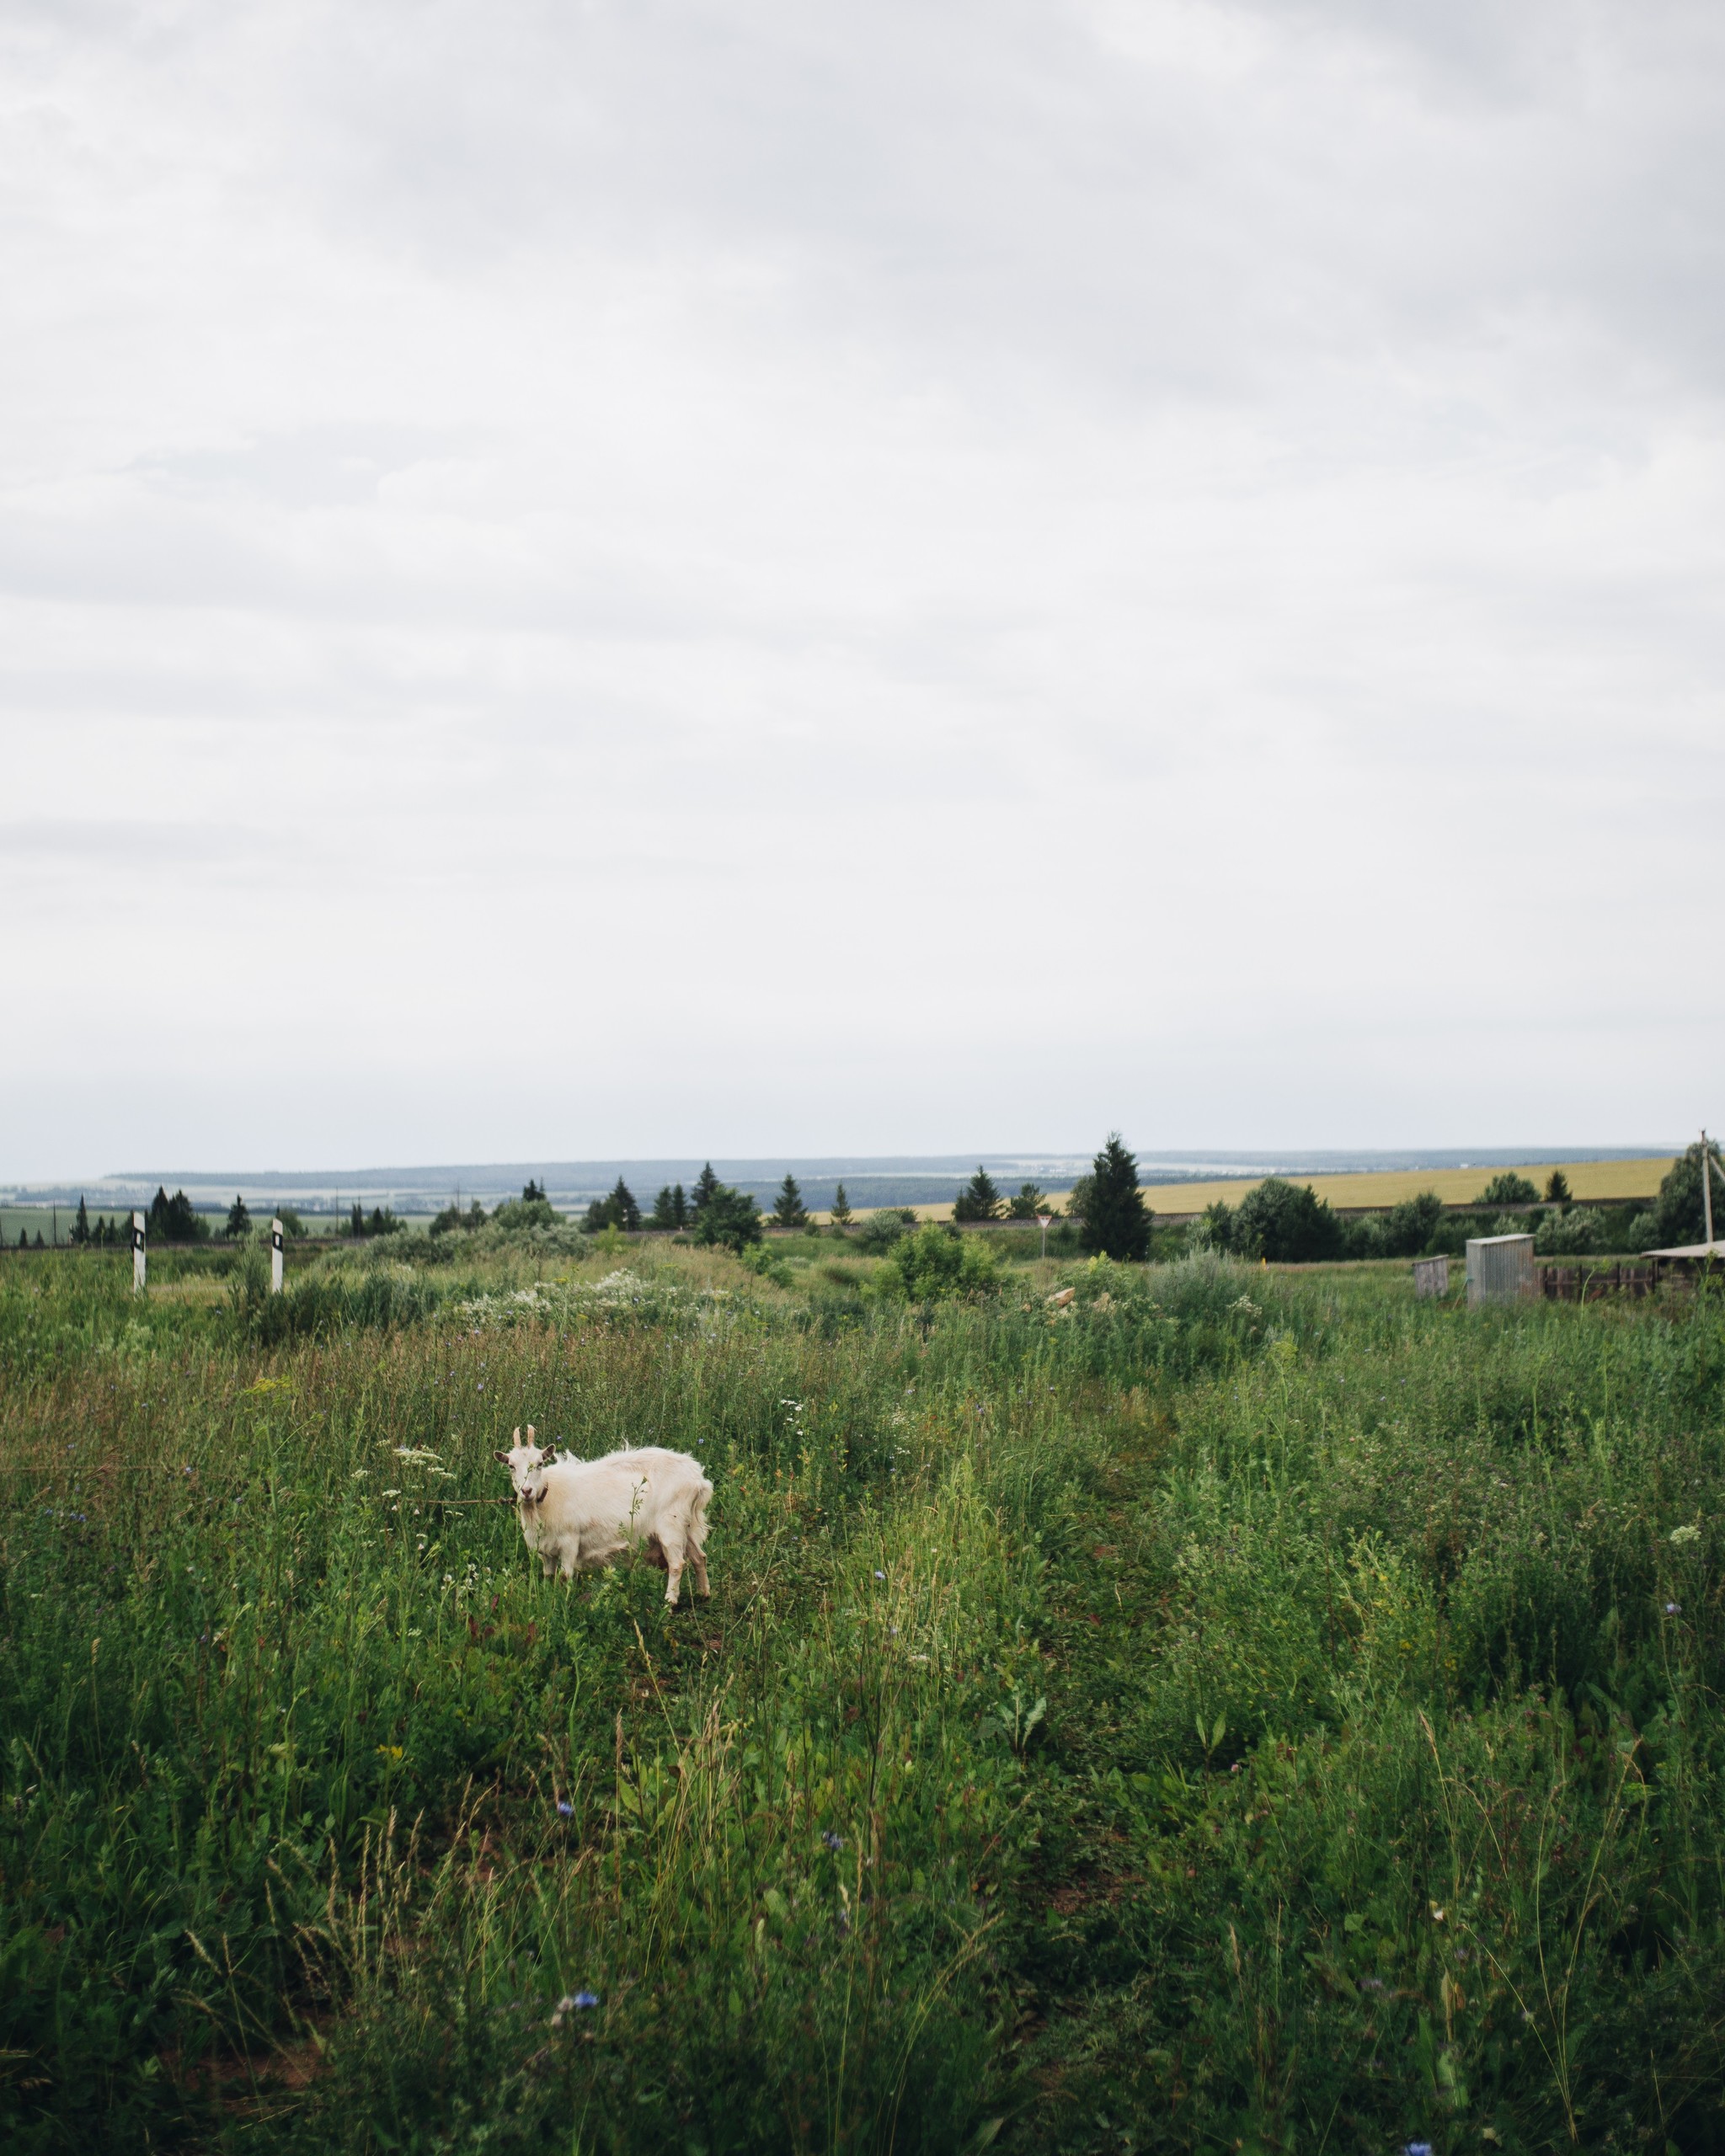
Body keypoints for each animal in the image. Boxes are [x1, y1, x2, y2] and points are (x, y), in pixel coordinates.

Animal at [491, 1422, 715, 1612]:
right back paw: (703, 1595)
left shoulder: (570, 1541)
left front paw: (563, 1605)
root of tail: (698, 1479)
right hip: (685, 1525)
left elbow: (565, 1577)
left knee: (677, 1564)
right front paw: (548, 1599)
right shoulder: (546, 1550)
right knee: (699, 1556)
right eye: (511, 1466)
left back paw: (668, 1604)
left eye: (539, 1464)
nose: (526, 1491)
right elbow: (548, 1577)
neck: (546, 1496)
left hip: (671, 1524)